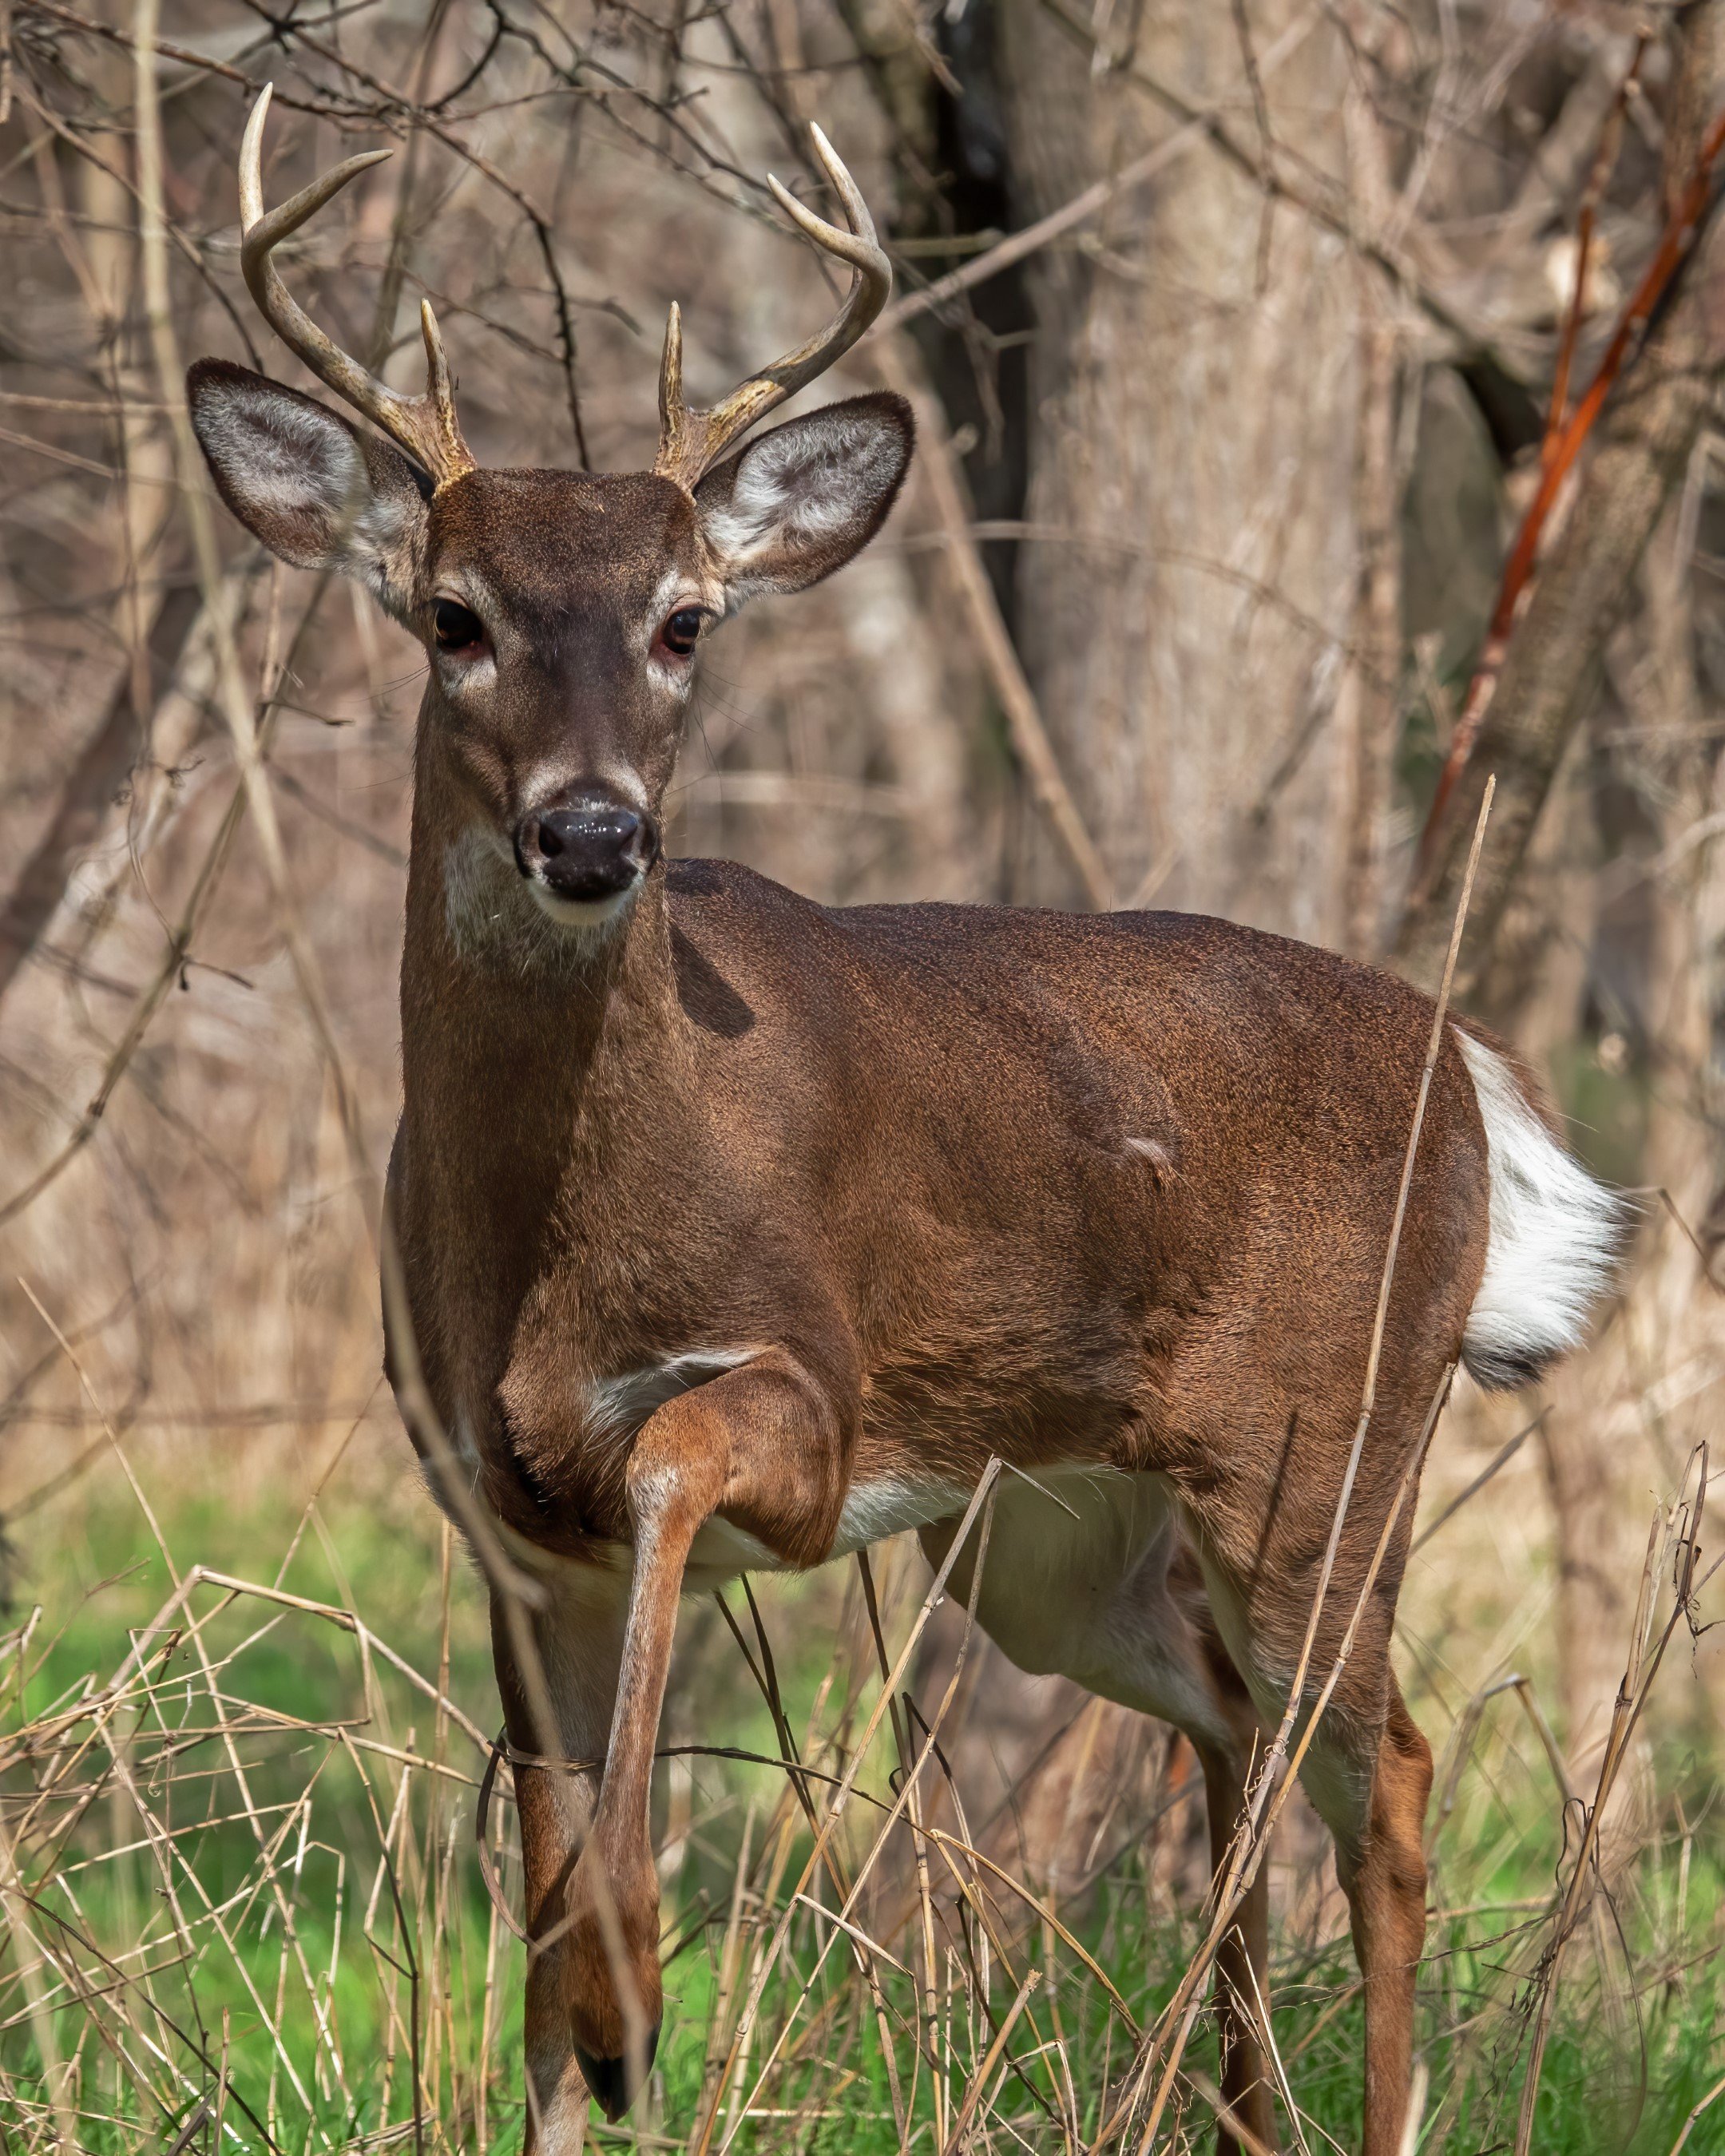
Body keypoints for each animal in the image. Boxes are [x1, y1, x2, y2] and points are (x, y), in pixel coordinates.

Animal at [195, 93, 1621, 2156]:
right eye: (451, 615)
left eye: (687, 621)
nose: (593, 832)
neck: (550, 1244)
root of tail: (1472, 1070)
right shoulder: (492, 1509)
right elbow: (536, 1884)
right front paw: (585, 2020)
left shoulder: (808, 1398)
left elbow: (664, 1483)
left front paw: (633, 1996)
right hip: (1057, 1531)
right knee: (1228, 1712)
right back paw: (1225, 2099)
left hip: (1329, 1444)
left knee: (1393, 1769)